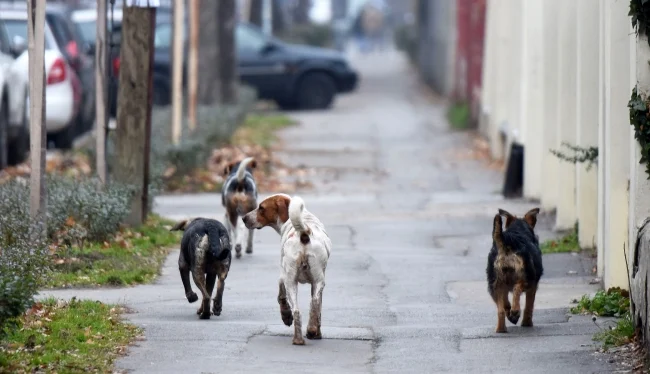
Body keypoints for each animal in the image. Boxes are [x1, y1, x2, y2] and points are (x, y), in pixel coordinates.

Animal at [240, 194, 330, 346]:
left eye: (261, 207)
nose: (244, 218)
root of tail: (304, 233)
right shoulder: (313, 283)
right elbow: (318, 310)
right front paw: (317, 332)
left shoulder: (283, 277)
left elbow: (281, 297)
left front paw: (285, 315)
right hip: (313, 282)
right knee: (311, 306)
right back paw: (307, 333)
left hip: (291, 281)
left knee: (297, 310)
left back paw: (298, 337)